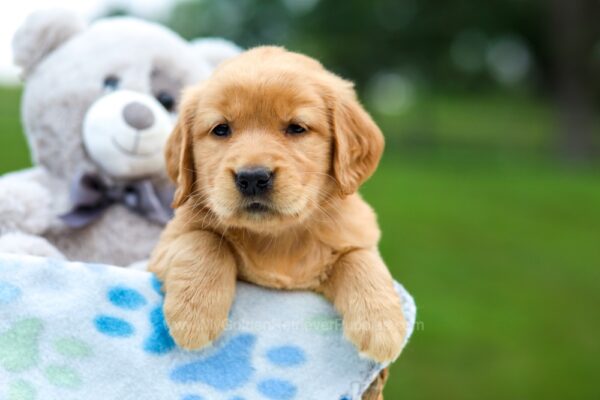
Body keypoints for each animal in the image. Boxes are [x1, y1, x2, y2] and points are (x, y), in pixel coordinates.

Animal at [149, 46, 408, 362]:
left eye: (297, 128)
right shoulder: (162, 250)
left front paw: (382, 324)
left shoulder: (352, 237)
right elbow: (204, 240)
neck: (276, 238)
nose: (252, 178)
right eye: (221, 129)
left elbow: (359, 257)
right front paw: (194, 314)